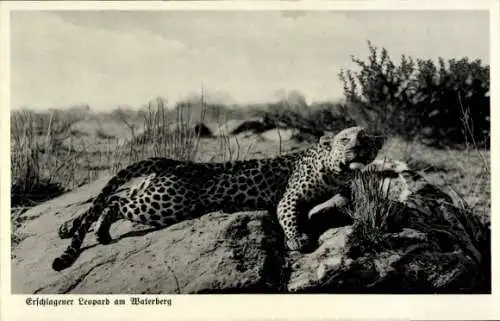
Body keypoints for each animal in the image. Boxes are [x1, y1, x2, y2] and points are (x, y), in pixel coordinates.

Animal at [51, 125, 382, 270]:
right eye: (345, 139)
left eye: (366, 140)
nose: (357, 149)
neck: (333, 168)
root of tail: (169, 162)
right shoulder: (290, 197)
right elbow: (288, 215)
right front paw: (298, 239)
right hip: (165, 203)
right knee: (113, 201)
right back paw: (102, 233)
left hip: (148, 190)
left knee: (108, 198)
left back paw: (71, 227)